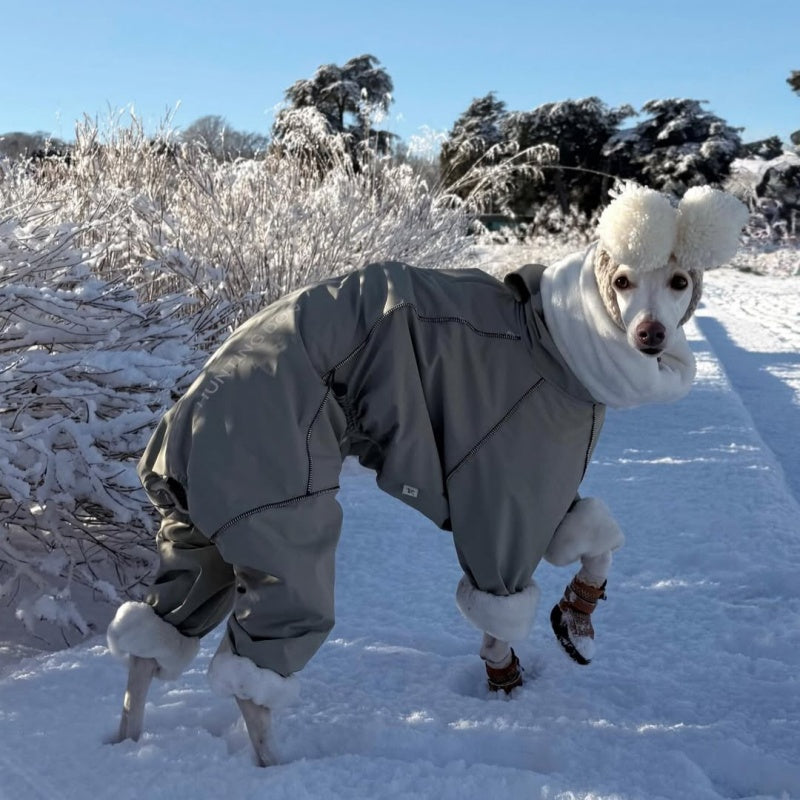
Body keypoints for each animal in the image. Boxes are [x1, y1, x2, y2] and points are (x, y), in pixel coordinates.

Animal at [107, 183, 747, 765]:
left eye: (679, 281)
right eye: (622, 282)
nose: (649, 335)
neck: (554, 339)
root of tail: (181, 418)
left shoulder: (546, 491)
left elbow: (596, 541)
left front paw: (579, 614)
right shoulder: (507, 491)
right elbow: (500, 607)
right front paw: (504, 677)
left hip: (206, 534)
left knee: (150, 645)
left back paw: (126, 740)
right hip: (281, 514)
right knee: (254, 681)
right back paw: (279, 765)